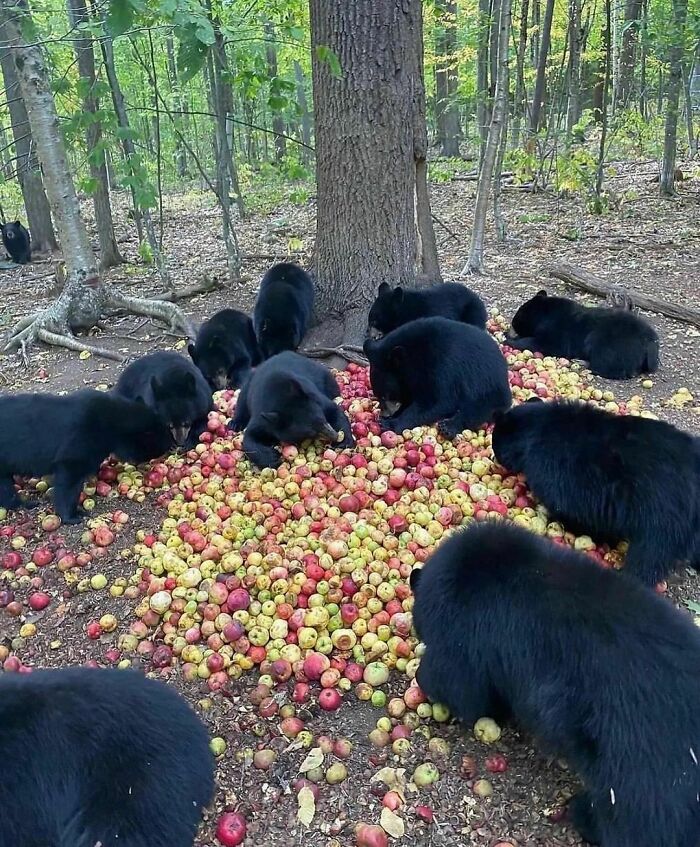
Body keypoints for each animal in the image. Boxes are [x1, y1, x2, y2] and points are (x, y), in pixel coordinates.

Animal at [0, 389, 172, 523]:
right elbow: (68, 485)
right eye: (161, 442)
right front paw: (71, 516)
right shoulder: (75, 450)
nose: (173, 445)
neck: (111, 423)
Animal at [363, 316, 511, 438]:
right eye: (378, 395)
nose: (385, 414)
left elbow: (438, 401)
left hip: (487, 386)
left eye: (385, 396)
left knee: (479, 408)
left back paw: (449, 426)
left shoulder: (442, 366)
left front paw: (390, 423)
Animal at [410, 520, 700, 847]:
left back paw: (583, 815)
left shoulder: (470, 636)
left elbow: (462, 688)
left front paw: (426, 680)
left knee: (634, 820)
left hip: (641, 764)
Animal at [491, 397, 700, 586]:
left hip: (662, 512)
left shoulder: (559, 472)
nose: (495, 459)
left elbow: (574, 512)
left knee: (650, 556)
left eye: (495, 445)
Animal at [507, 290, 659, 379]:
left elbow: (548, 344)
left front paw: (509, 340)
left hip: (613, 342)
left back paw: (584, 362)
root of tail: (650, 343)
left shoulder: (558, 331)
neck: (545, 315)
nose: (510, 328)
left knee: (607, 361)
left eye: (517, 318)